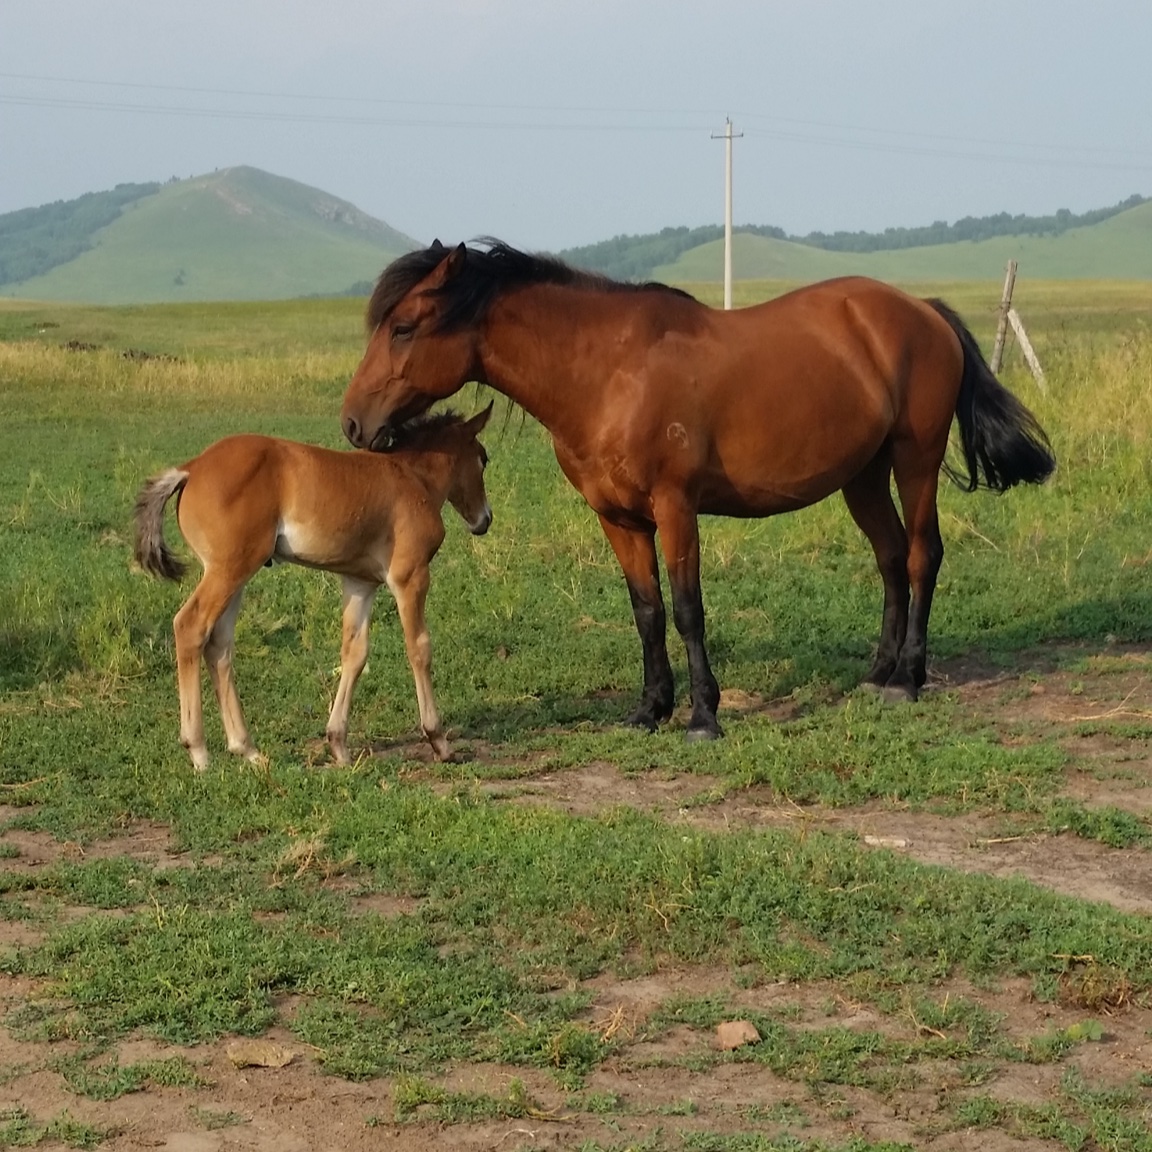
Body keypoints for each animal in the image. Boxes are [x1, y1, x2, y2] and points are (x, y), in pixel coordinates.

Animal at [132, 403, 493, 764]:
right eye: (484, 458)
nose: (484, 520)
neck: (411, 478)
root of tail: (190, 468)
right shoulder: (410, 576)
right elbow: (419, 648)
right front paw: (439, 740)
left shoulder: (360, 582)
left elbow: (354, 653)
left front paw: (339, 745)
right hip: (228, 571)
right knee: (190, 626)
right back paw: (199, 751)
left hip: (235, 575)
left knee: (219, 645)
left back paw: (248, 749)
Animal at [338, 239, 1055, 741]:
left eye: (403, 327)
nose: (352, 423)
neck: (607, 372)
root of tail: (920, 310)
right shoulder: (618, 519)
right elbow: (647, 611)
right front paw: (650, 708)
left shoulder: (676, 509)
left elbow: (687, 609)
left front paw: (704, 715)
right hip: (863, 477)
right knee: (889, 560)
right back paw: (876, 675)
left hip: (915, 460)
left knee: (921, 556)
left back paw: (907, 679)